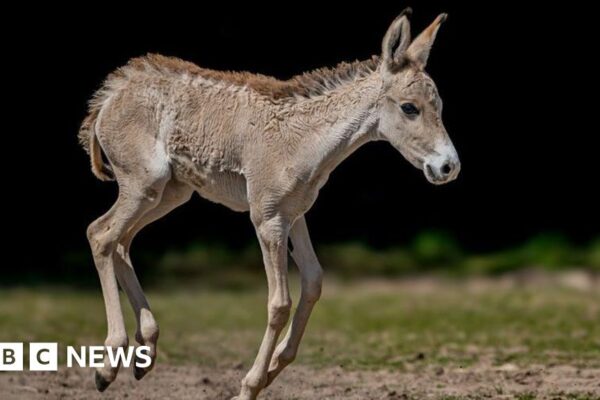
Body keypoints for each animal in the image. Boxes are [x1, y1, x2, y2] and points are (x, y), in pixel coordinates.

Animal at [77, 7, 458, 398]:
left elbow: (314, 282)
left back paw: (145, 351)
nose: (449, 167)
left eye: (439, 105)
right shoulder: (267, 218)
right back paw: (108, 366)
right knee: (101, 235)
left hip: (169, 193)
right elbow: (279, 303)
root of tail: (109, 94)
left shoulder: (296, 214)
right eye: (410, 108)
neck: (305, 140)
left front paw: (276, 364)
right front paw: (250, 386)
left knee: (119, 241)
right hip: (144, 185)